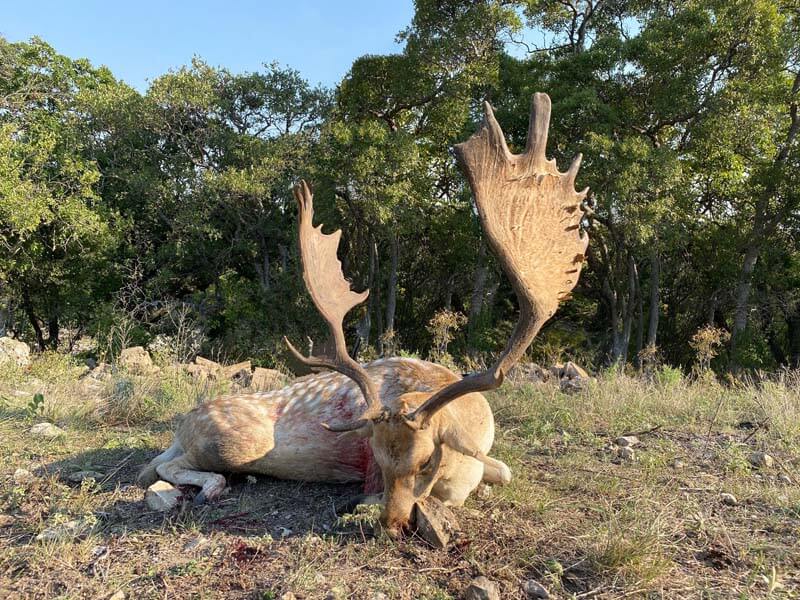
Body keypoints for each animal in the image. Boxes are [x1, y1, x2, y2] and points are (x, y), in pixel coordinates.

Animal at [137, 93, 588, 536]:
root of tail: (182, 424)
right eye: (376, 458)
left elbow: (506, 471)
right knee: (161, 466)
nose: (390, 525)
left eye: (426, 460)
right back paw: (209, 487)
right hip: (228, 442)